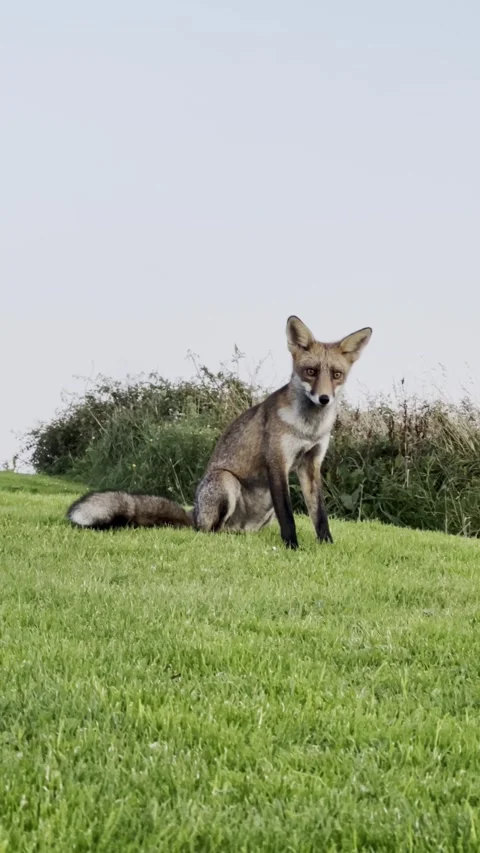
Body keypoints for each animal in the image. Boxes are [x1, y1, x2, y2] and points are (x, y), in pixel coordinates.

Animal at [67, 316, 372, 548]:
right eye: (310, 371)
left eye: (336, 375)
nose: (324, 399)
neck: (308, 428)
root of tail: (194, 514)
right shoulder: (278, 462)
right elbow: (289, 516)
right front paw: (292, 546)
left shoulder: (310, 464)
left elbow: (319, 514)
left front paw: (326, 546)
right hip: (225, 481)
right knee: (208, 531)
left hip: (260, 513)